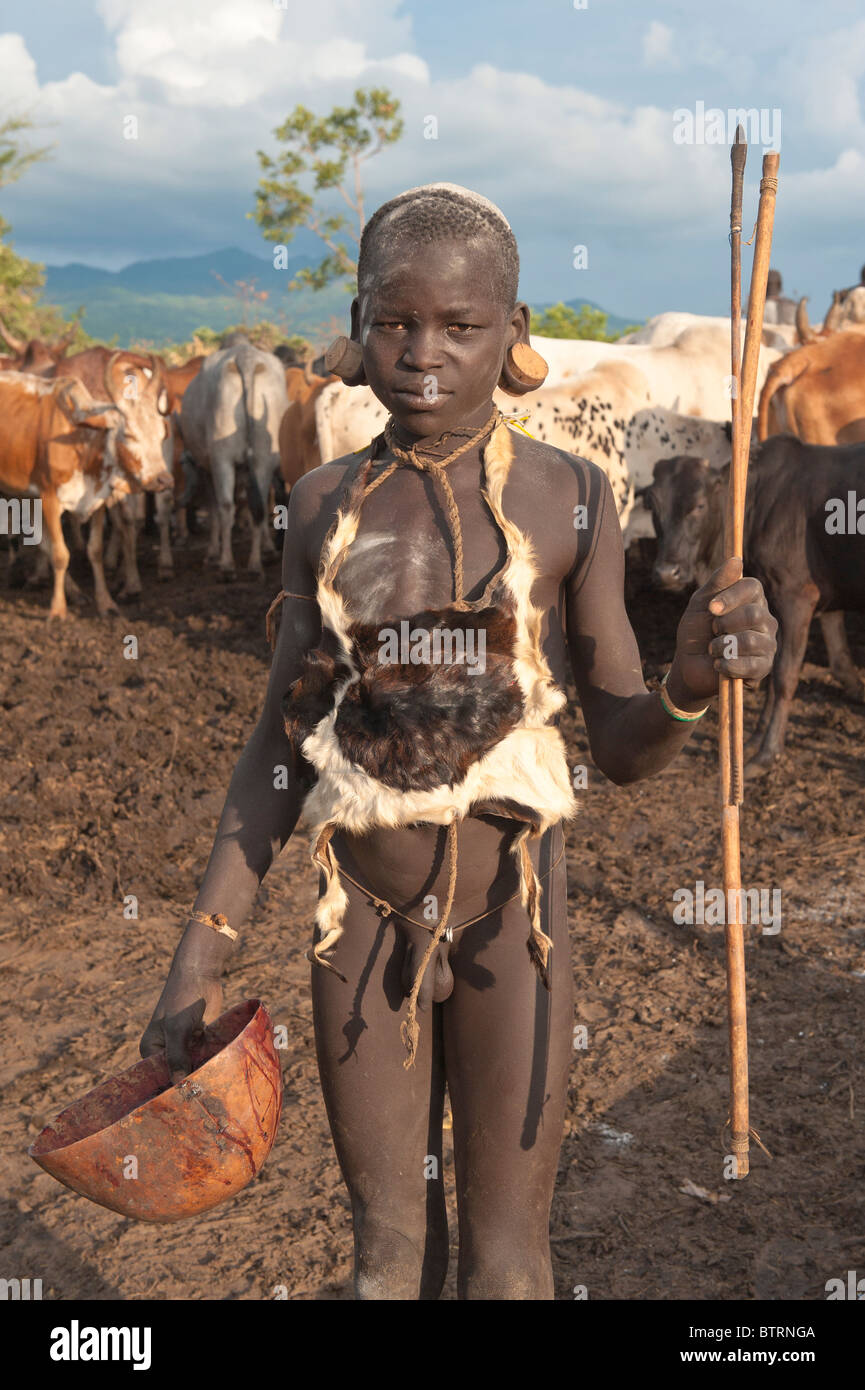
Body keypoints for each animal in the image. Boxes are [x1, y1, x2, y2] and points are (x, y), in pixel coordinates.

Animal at [179, 339, 287, 578]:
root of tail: (245, 358)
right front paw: (268, 548)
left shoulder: (207, 468)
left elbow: (214, 509)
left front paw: (212, 553)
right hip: (263, 458)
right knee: (259, 506)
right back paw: (255, 563)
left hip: (222, 458)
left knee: (226, 507)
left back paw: (227, 564)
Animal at [645, 436, 865, 772]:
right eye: (654, 505)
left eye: (699, 505)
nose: (666, 573)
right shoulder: (771, 602)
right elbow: (772, 672)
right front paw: (754, 741)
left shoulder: (797, 596)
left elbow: (786, 675)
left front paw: (768, 752)